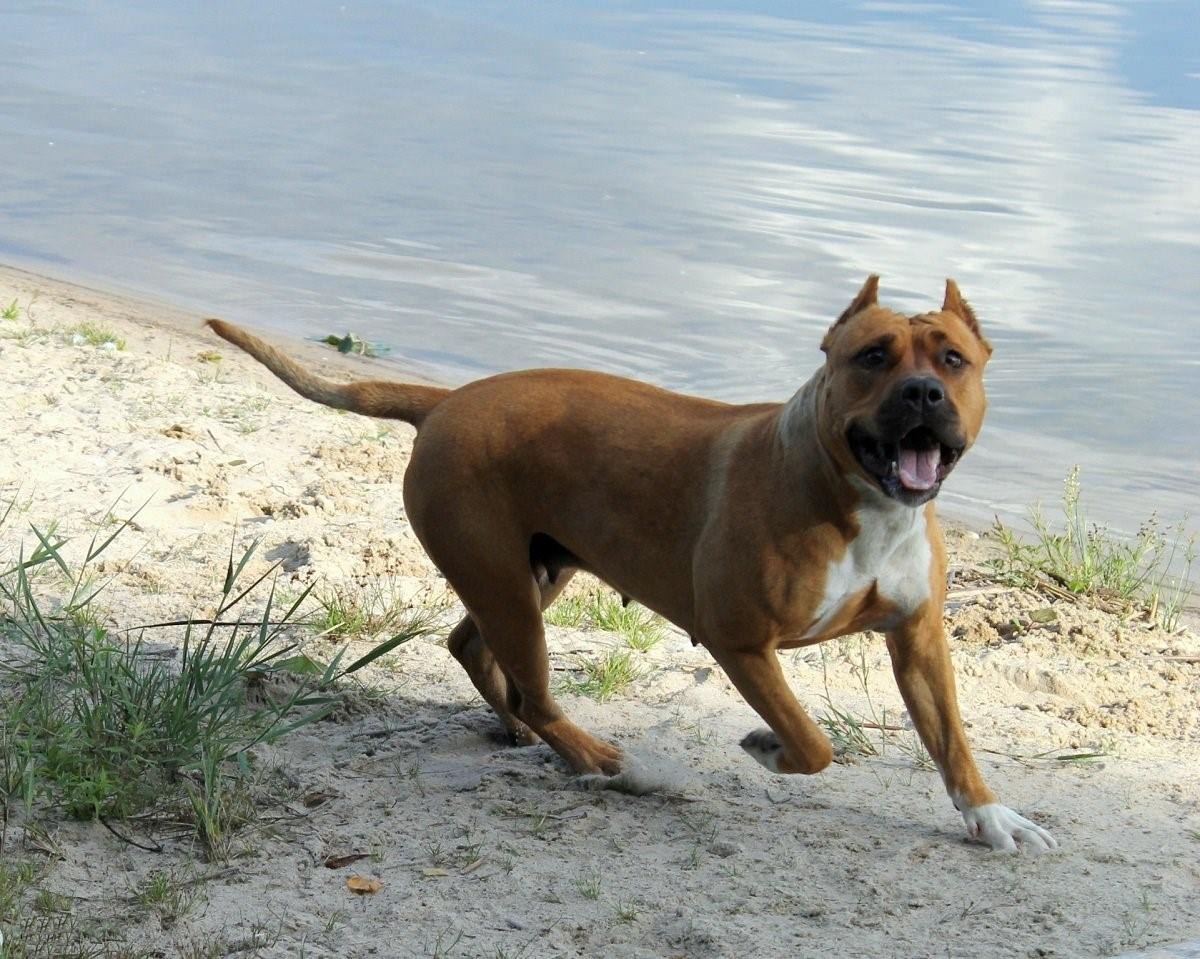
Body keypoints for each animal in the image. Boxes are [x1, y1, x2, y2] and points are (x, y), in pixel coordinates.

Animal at [211, 279, 1056, 854]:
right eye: (872, 357)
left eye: (954, 359)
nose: (923, 391)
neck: (858, 500)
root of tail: (444, 400)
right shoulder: (742, 642)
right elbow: (814, 741)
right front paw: (768, 747)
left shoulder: (919, 639)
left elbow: (951, 739)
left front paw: (989, 814)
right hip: (508, 588)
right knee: (539, 693)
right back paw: (608, 762)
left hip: (531, 574)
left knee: (474, 650)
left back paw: (515, 726)